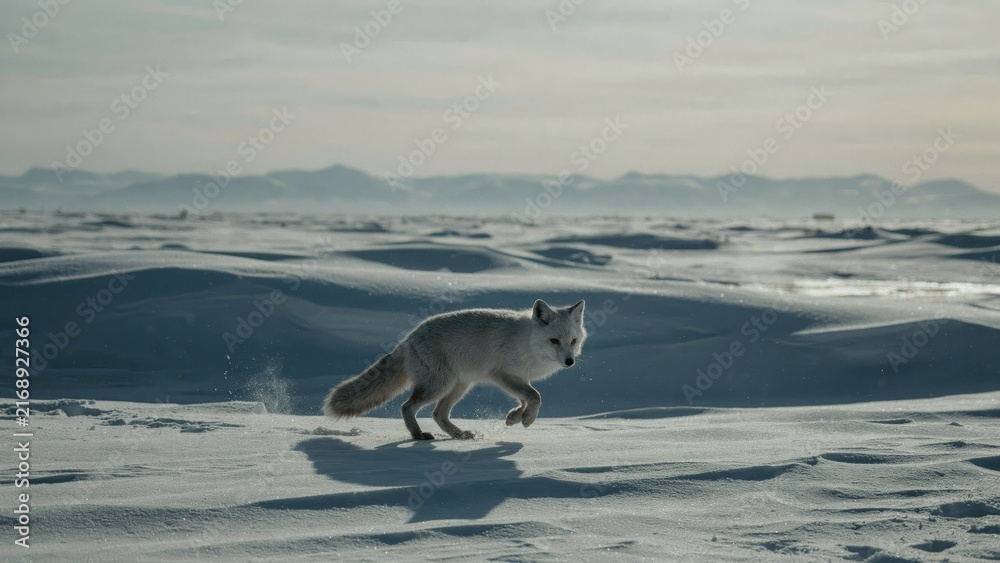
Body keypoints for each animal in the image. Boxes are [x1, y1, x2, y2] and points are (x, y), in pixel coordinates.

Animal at [323, 299, 586, 440]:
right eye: (554, 341)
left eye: (573, 341)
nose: (569, 361)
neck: (527, 343)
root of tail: (408, 339)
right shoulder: (502, 375)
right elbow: (535, 396)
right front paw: (527, 419)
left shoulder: (519, 379)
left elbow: (527, 398)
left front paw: (515, 417)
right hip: (440, 386)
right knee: (407, 407)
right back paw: (418, 436)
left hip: (459, 387)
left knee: (438, 414)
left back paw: (458, 435)